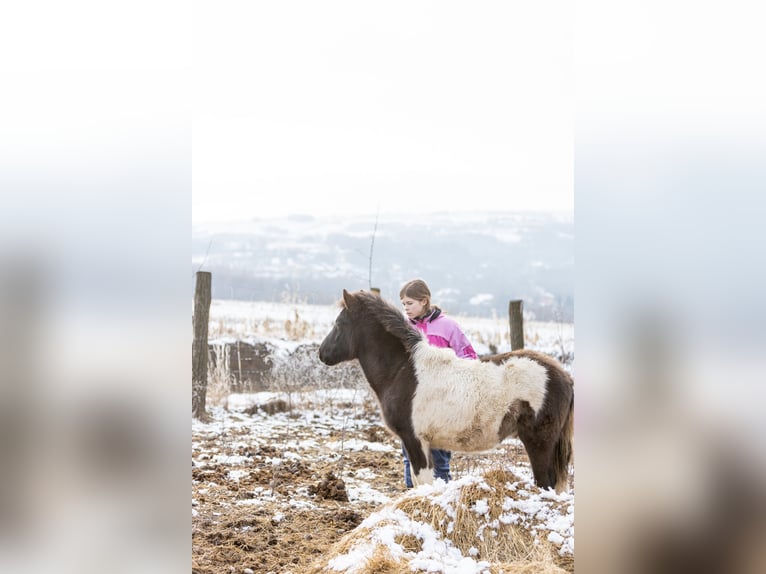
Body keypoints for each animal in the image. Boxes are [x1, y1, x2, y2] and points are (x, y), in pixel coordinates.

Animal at [320, 292, 576, 496]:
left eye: (339, 323)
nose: (322, 353)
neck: (403, 370)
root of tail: (564, 376)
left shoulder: (415, 439)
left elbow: (423, 481)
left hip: (540, 442)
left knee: (546, 483)